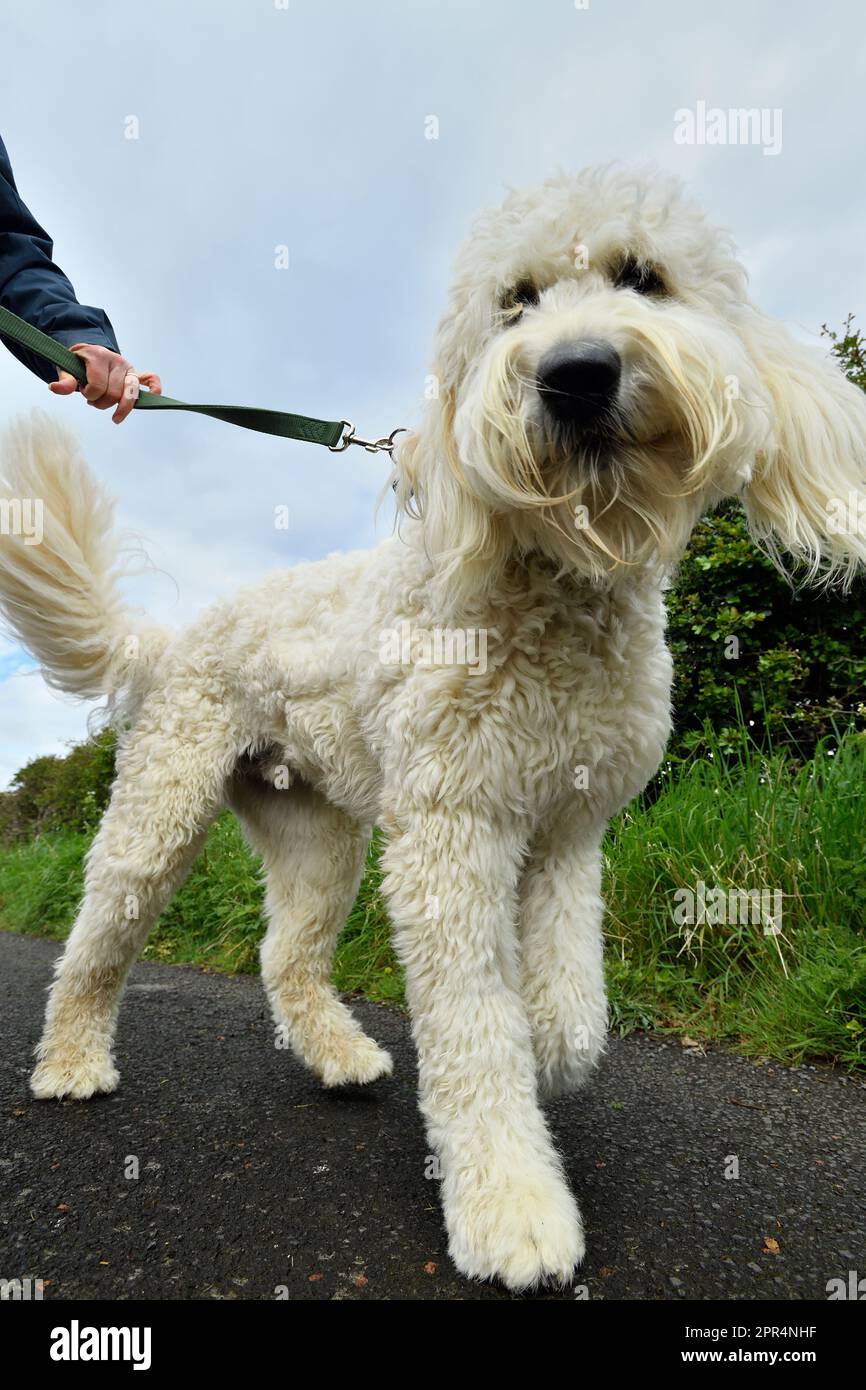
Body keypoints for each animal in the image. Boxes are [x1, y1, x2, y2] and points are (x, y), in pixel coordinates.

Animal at [1, 165, 866, 1289]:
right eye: (516, 301)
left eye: (642, 276)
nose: (575, 374)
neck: (552, 586)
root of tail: (172, 637)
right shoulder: (452, 832)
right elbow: (472, 1029)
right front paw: (511, 1207)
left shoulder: (566, 826)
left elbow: (568, 998)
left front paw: (552, 1037)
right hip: (162, 808)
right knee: (95, 941)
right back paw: (70, 1060)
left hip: (316, 833)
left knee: (286, 953)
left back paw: (338, 1056)